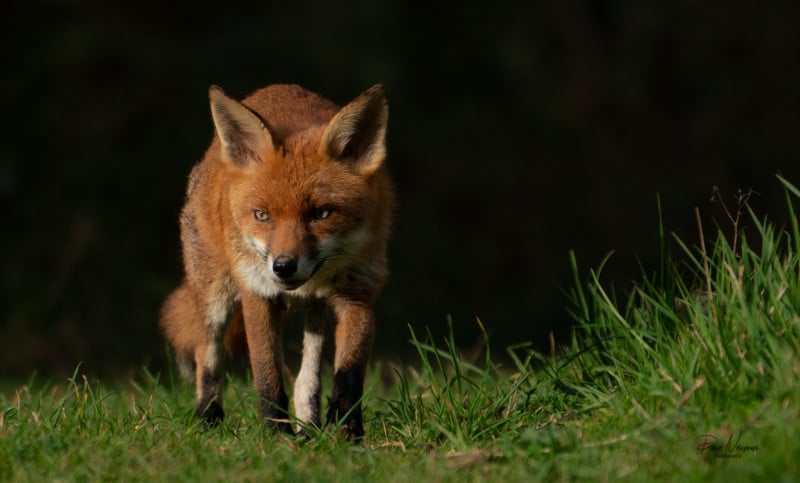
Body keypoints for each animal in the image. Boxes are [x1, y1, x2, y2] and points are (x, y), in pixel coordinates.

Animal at [159, 83, 390, 442]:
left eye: (322, 213)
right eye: (262, 216)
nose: (283, 267)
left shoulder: (359, 295)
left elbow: (349, 374)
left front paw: (348, 433)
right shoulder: (258, 295)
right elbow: (267, 376)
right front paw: (277, 436)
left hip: (316, 313)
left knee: (308, 378)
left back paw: (309, 425)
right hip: (215, 299)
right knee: (207, 355)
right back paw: (208, 418)